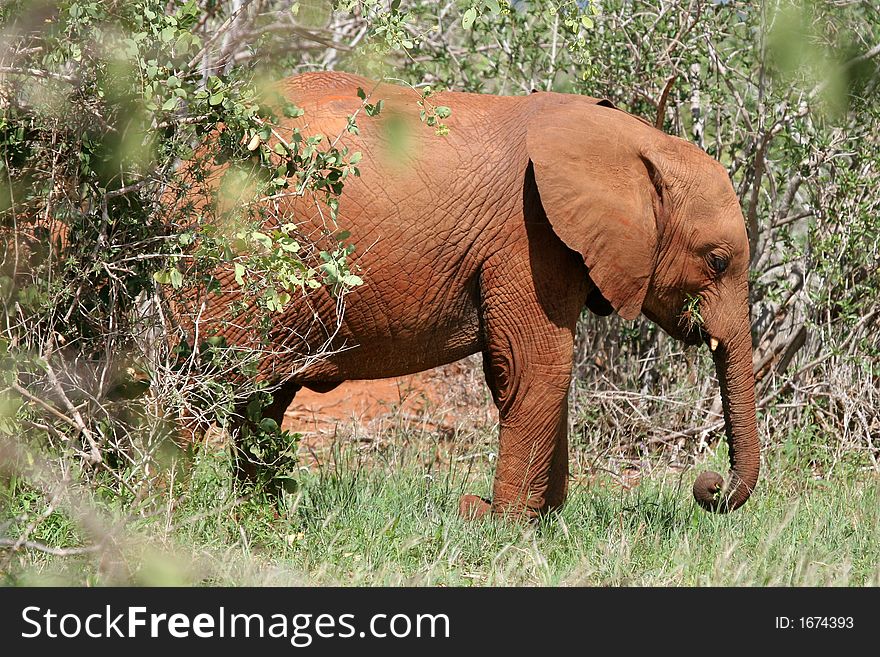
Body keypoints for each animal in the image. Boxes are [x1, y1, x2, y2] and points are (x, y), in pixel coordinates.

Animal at [189, 72, 760, 516]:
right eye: (716, 261)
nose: (709, 487)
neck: (630, 140)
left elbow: (542, 371)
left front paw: (541, 518)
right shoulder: (527, 234)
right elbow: (535, 365)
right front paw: (504, 526)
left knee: (263, 397)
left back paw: (261, 515)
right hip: (231, 249)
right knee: (202, 377)